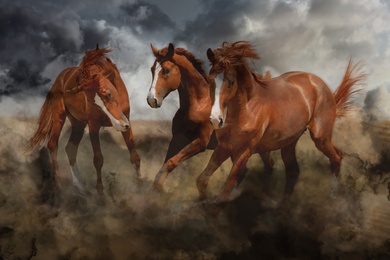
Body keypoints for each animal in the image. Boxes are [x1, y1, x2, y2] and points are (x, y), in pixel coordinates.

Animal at [24, 45, 140, 195]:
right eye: (90, 101)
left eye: (108, 94)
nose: (119, 125)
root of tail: (60, 77)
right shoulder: (93, 126)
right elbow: (98, 159)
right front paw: (100, 192)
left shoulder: (127, 120)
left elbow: (134, 155)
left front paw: (140, 185)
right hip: (59, 116)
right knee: (53, 144)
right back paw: (58, 185)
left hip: (78, 124)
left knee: (70, 148)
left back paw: (80, 186)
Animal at [146, 42, 274, 193]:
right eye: (152, 69)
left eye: (166, 70)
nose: (151, 100)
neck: (198, 104)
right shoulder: (177, 138)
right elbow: (164, 166)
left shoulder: (201, 142)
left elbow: (171, 163)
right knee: (245, 171)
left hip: (258, 148)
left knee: (268, 167)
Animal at [198, 41, 366, 203]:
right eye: (210, 80)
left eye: (231, 82)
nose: (216, 120)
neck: (246, 109)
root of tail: (319, 83)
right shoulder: (224, 146)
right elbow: (202, 180)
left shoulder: (244, 150)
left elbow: (224, 192)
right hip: (289, 143)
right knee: (293, 170)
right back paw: (282, 206)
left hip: (321, 138)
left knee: (336, 158)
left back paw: (333, 197)